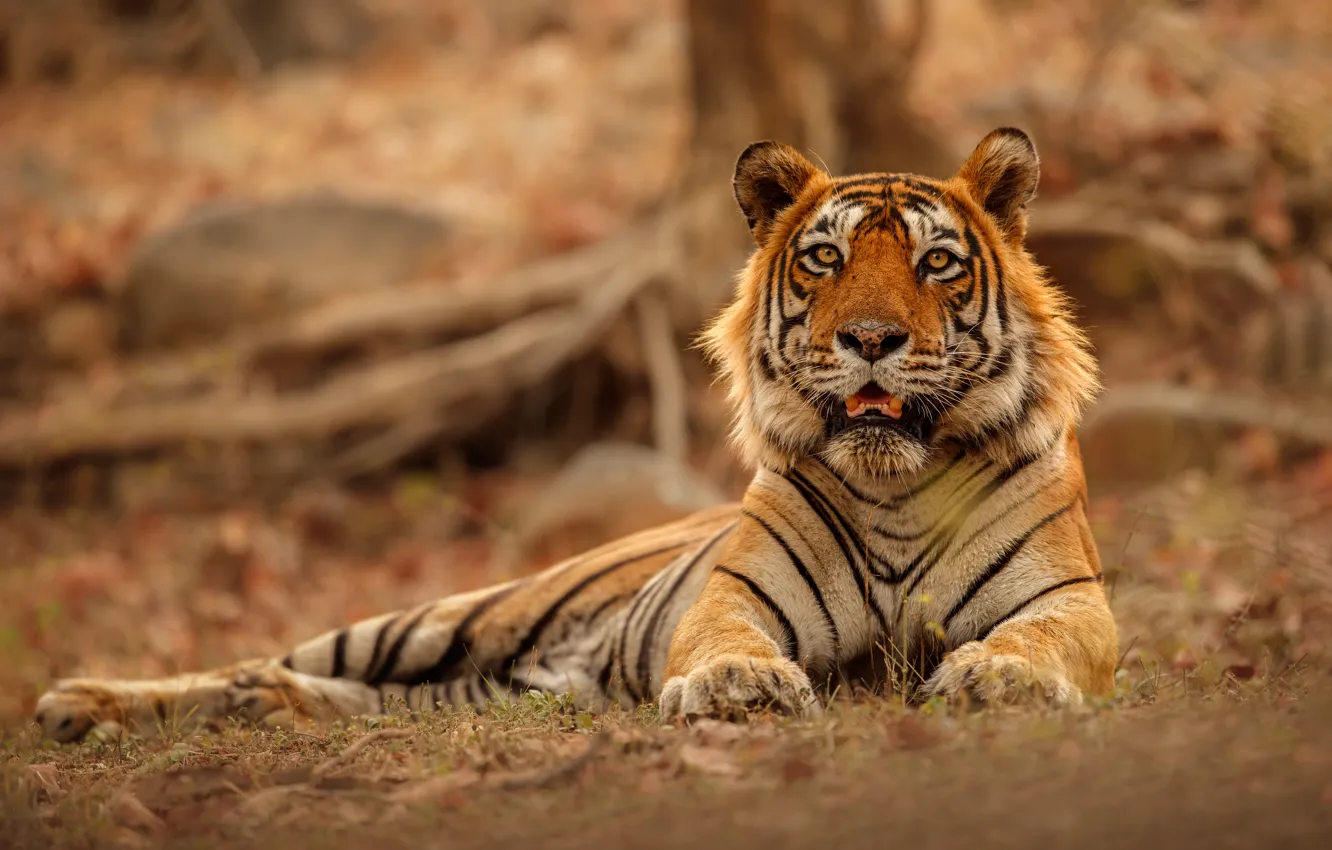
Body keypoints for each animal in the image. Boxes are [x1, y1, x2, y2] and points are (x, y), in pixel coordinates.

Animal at [33, 127, 1118, 742]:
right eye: (824, 259)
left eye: (937, 262)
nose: (870, 339)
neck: (894, 484)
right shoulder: (731, 595)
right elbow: (726, 637)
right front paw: (738, 684)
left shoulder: (1072, 603)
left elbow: (1038, 635)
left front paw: (1001, 677)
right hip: (443, 617)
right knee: (262, 658)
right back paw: (83, 702)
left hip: (486, 684)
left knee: (347, 694)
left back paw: (264, 710)